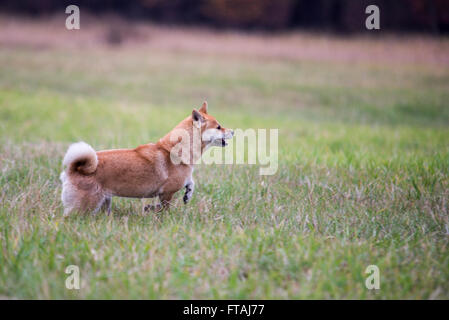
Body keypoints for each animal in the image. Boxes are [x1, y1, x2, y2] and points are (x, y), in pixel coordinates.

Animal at [59, 102, 233, 218]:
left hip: (103, 201)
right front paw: (158, 214)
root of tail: (73, 169)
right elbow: (164, 208)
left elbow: (191, 182)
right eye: (218, 127)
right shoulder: (167, 192)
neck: (174, 150)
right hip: (87, 205)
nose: (233, 131)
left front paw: (188, 194)